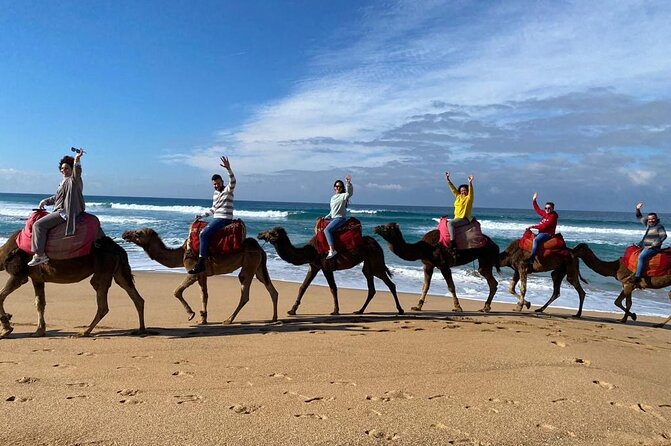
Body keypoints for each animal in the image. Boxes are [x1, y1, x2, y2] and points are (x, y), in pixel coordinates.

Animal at [0, 230, 146, 338]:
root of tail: (119, 249)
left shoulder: (19, 274)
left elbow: (1, 296)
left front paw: (6, 329)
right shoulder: (37, 279)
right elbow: (39, 303)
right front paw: (39, 331)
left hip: (104, 267)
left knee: (102, 302)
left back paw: (84, 332)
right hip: (119, 270)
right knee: (135, 296)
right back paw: (141, 329)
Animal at [122, 228, 278, 325]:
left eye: (139, 233)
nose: (125, 234)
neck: (182, 253)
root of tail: (260, 249)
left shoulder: (193, 271)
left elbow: (177, 291)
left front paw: (191, 314)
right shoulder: (203, 274)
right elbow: (204, 294)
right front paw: (203, 319)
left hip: (250, 263)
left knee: (245, 291)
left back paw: (228, 320)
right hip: (258, 266)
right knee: (270, 288)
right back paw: (274, 318)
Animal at [256, 227, 404, 316]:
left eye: (272, 233)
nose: (259, 234)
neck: (310, 251)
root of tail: (377, 244)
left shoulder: (325, 266)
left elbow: (333, 288)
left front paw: (335, 311)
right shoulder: (314, 266)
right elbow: (303, 287)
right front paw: (292, 310)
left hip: (376, 261)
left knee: (390, 284)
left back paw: (400, 310)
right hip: (368, 264)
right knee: (371, 287)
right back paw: (359, 311)